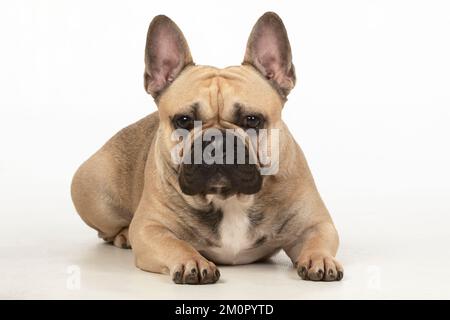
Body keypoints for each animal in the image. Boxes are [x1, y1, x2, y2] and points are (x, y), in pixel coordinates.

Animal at [72, 11, 342, 284]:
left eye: (252, 120)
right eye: (183, 120)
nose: (217, 141)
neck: (229, 199)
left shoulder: (315, 224)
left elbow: (318, 239)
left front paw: (320, 258)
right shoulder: (150, 228)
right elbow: (175, 244)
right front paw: (192, 262)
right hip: (93, 188)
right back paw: (124, 234)